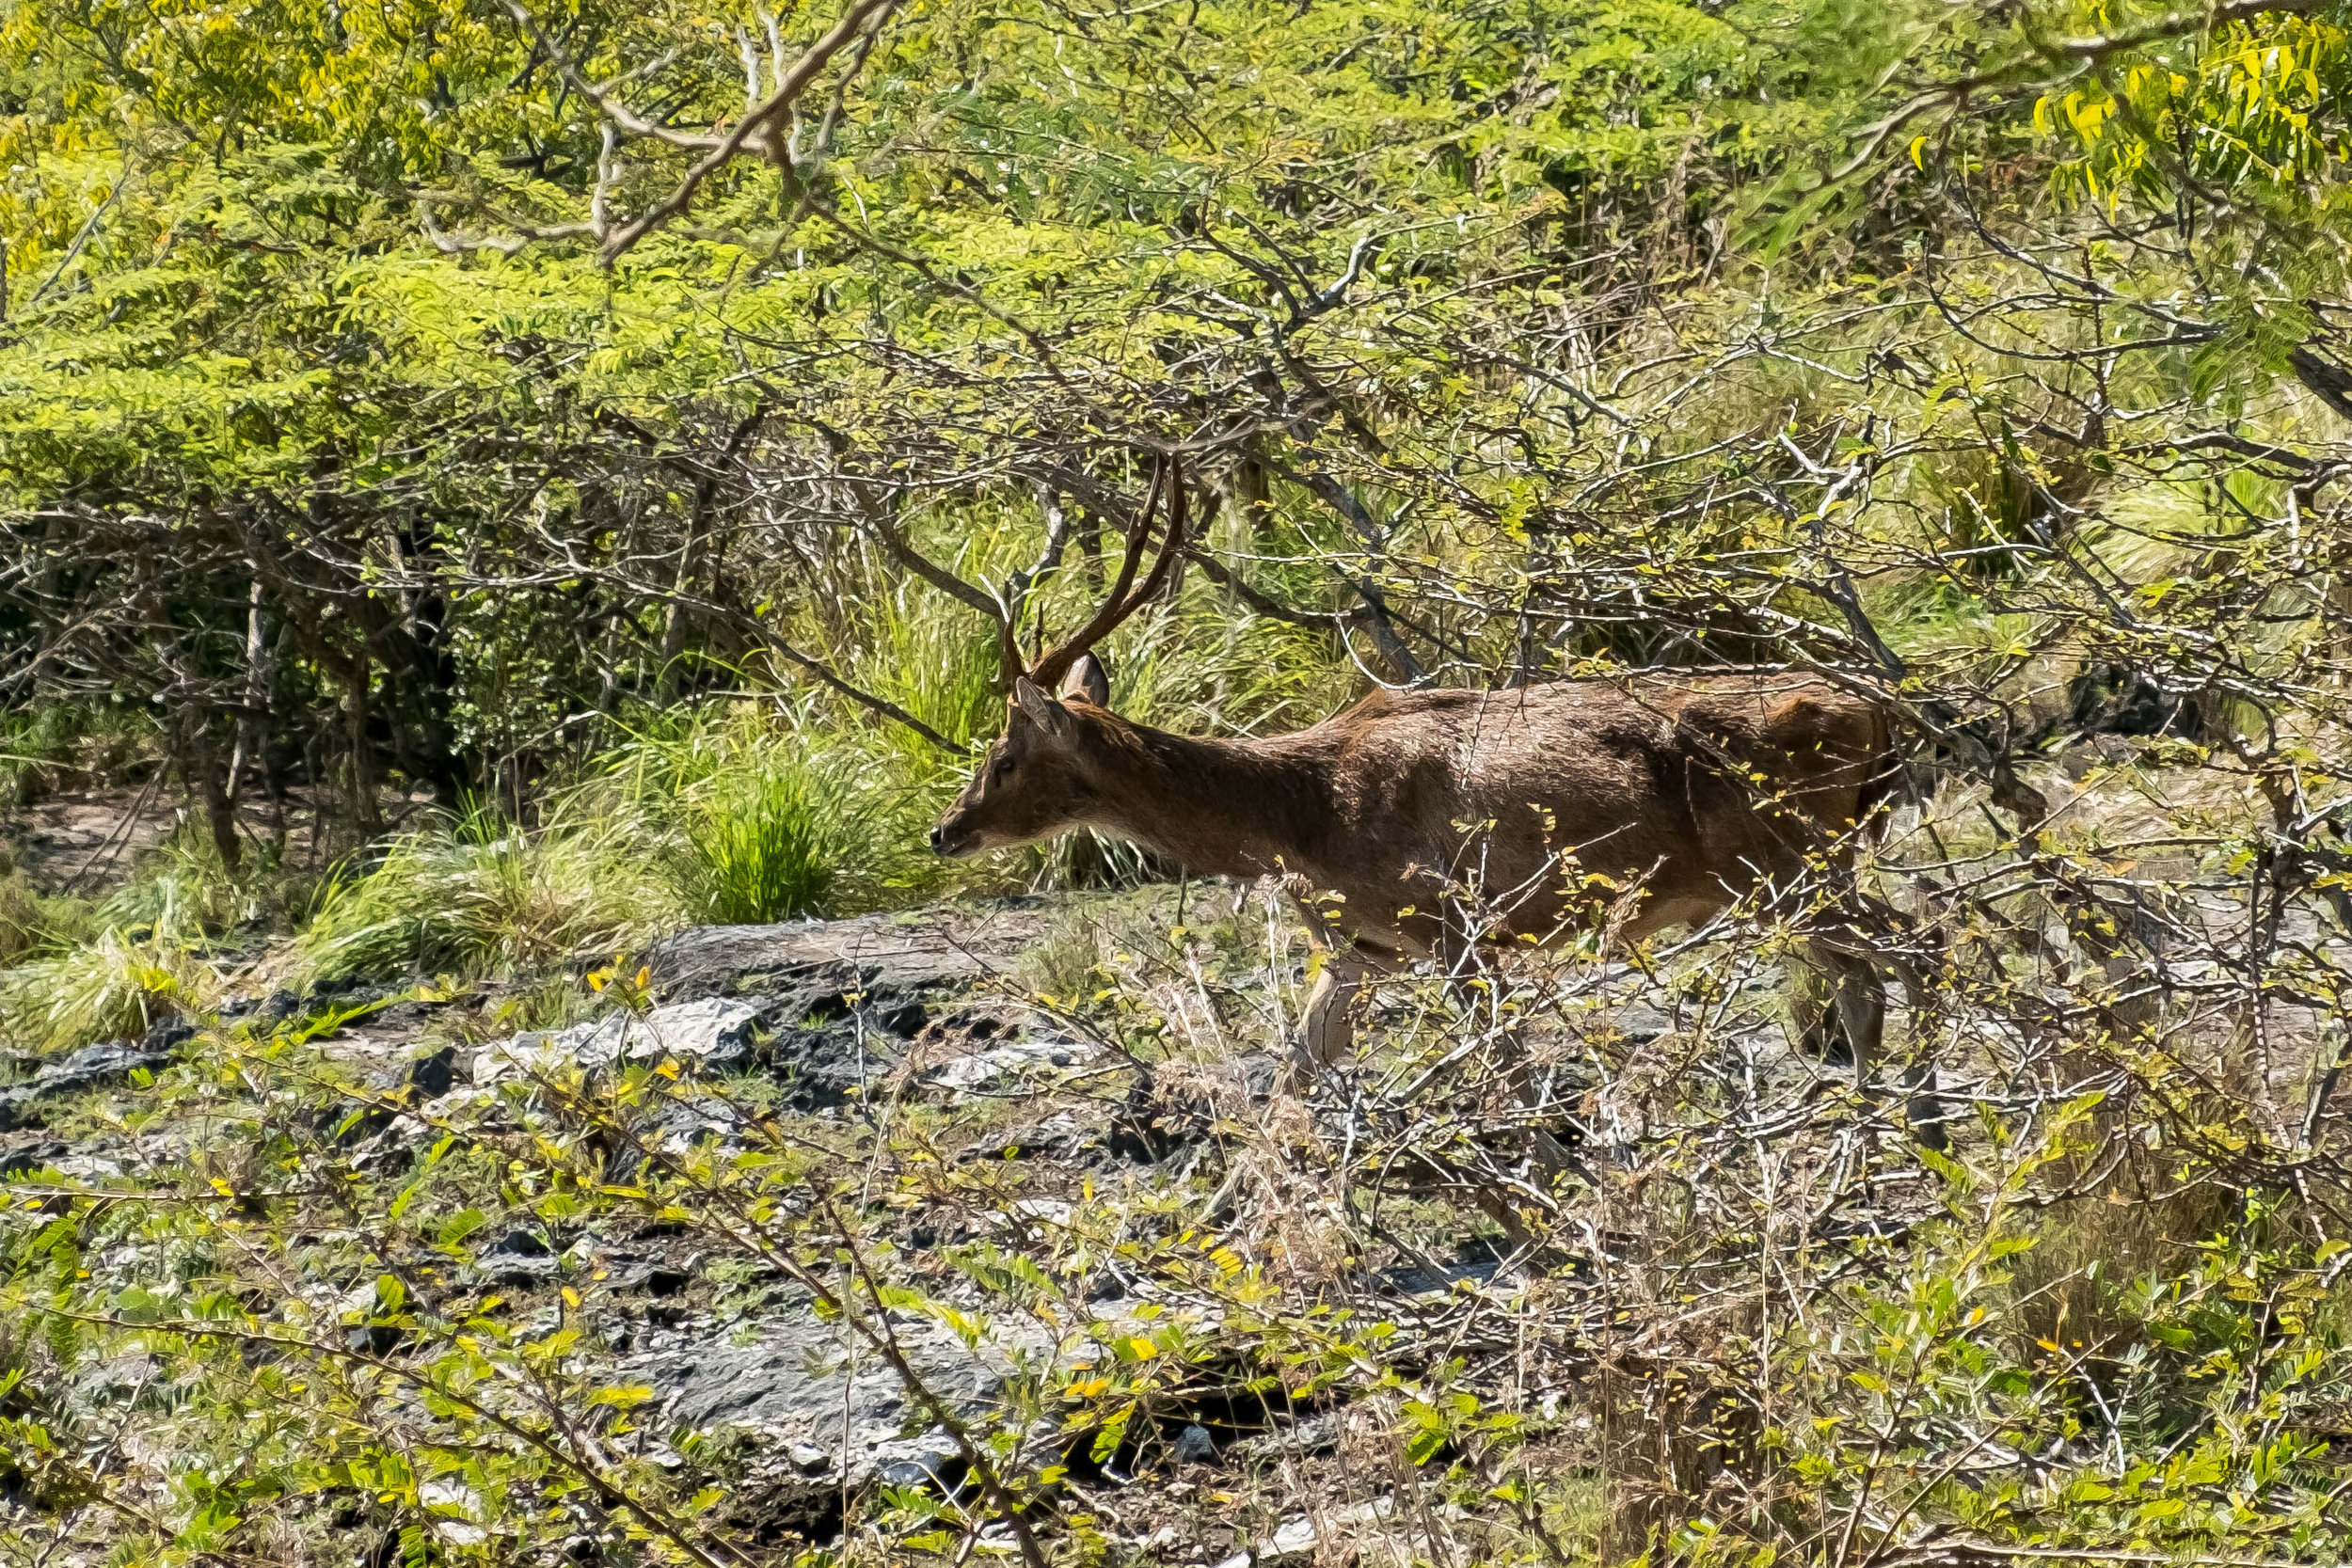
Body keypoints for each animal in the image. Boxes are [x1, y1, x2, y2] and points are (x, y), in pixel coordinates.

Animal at [917, 455, 1929, 1128]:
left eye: (1002, 755)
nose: (945, 830)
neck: (1299, 821)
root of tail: (1882, 717)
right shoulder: (1361, 951)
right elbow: (1291, 1081)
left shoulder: (1452, 924)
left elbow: (1511, 1078)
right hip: (1792, 875)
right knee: (1868, 973)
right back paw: (1890, 1122)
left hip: (1785, 863)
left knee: (1916, 944)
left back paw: (1930, 1127)